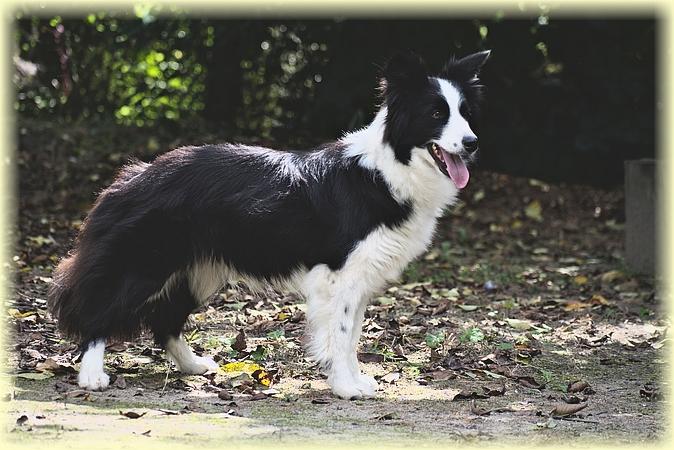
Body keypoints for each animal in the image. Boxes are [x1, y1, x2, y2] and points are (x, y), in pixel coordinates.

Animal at [48, 51, 488, 400]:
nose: (472, 143)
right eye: (436, 114)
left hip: (197, 270)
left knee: (165, 319)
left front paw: (354, 380)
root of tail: (136, 175)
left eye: (465, 113)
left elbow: (351, 336)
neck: (389, 170)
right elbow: (340, 333)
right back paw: (92, 375)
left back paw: (194, 366)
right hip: (146, 263)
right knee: (102, 309)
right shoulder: (338, 274)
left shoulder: (360, 277)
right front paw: (346, 387)